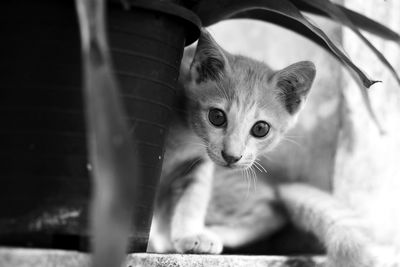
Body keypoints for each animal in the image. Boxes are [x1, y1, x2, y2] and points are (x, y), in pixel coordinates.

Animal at [148, 29, 376, 267]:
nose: (231, 156)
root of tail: (274, 185)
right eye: (216, 117)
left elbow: (192, 198)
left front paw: (191, 233)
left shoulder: (198, 164)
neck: (186, 134)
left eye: (260, 129)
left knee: (271, 211)